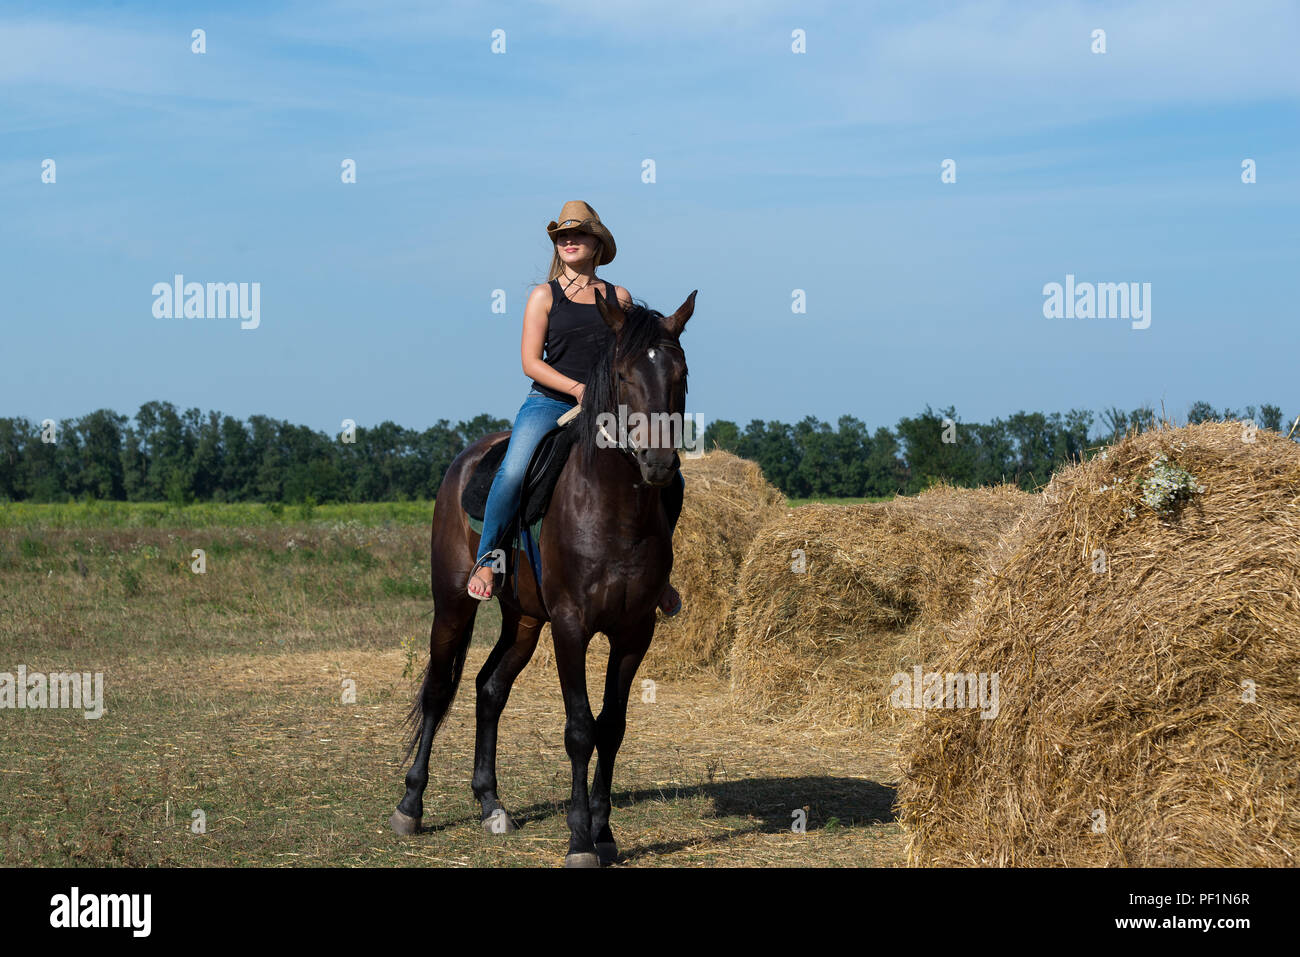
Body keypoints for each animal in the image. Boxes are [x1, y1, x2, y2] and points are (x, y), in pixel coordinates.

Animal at [391, 287, 696, 867]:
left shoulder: (634, 631)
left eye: (681, 373)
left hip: (525, 620)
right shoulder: (572, 626)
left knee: (489, 689)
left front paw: (604, 832)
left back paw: (491, 804)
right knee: (439, 689)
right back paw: (410, 805)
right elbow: (579, 729)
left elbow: (612, 728)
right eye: (622, 375)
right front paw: (579, 840)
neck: (613, 509)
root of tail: (466, 459)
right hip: (454, 604)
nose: (659, 463)